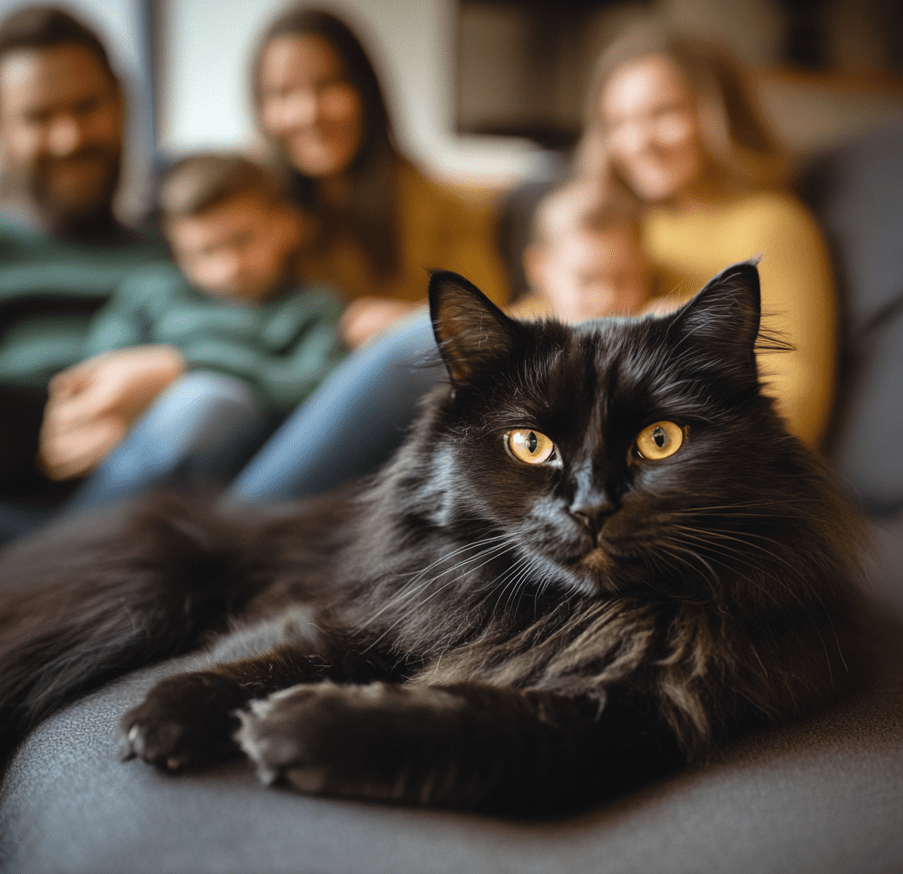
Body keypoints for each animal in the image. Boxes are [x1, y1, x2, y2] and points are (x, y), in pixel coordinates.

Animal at [0, 264, 860, 812]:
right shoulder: (387, 611)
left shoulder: (645, 706)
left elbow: (478, 722)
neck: (557, 616)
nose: (589, 507)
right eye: (530, 445)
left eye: (659, 441)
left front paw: (294, 729)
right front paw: (170, 714)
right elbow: (279, 655)